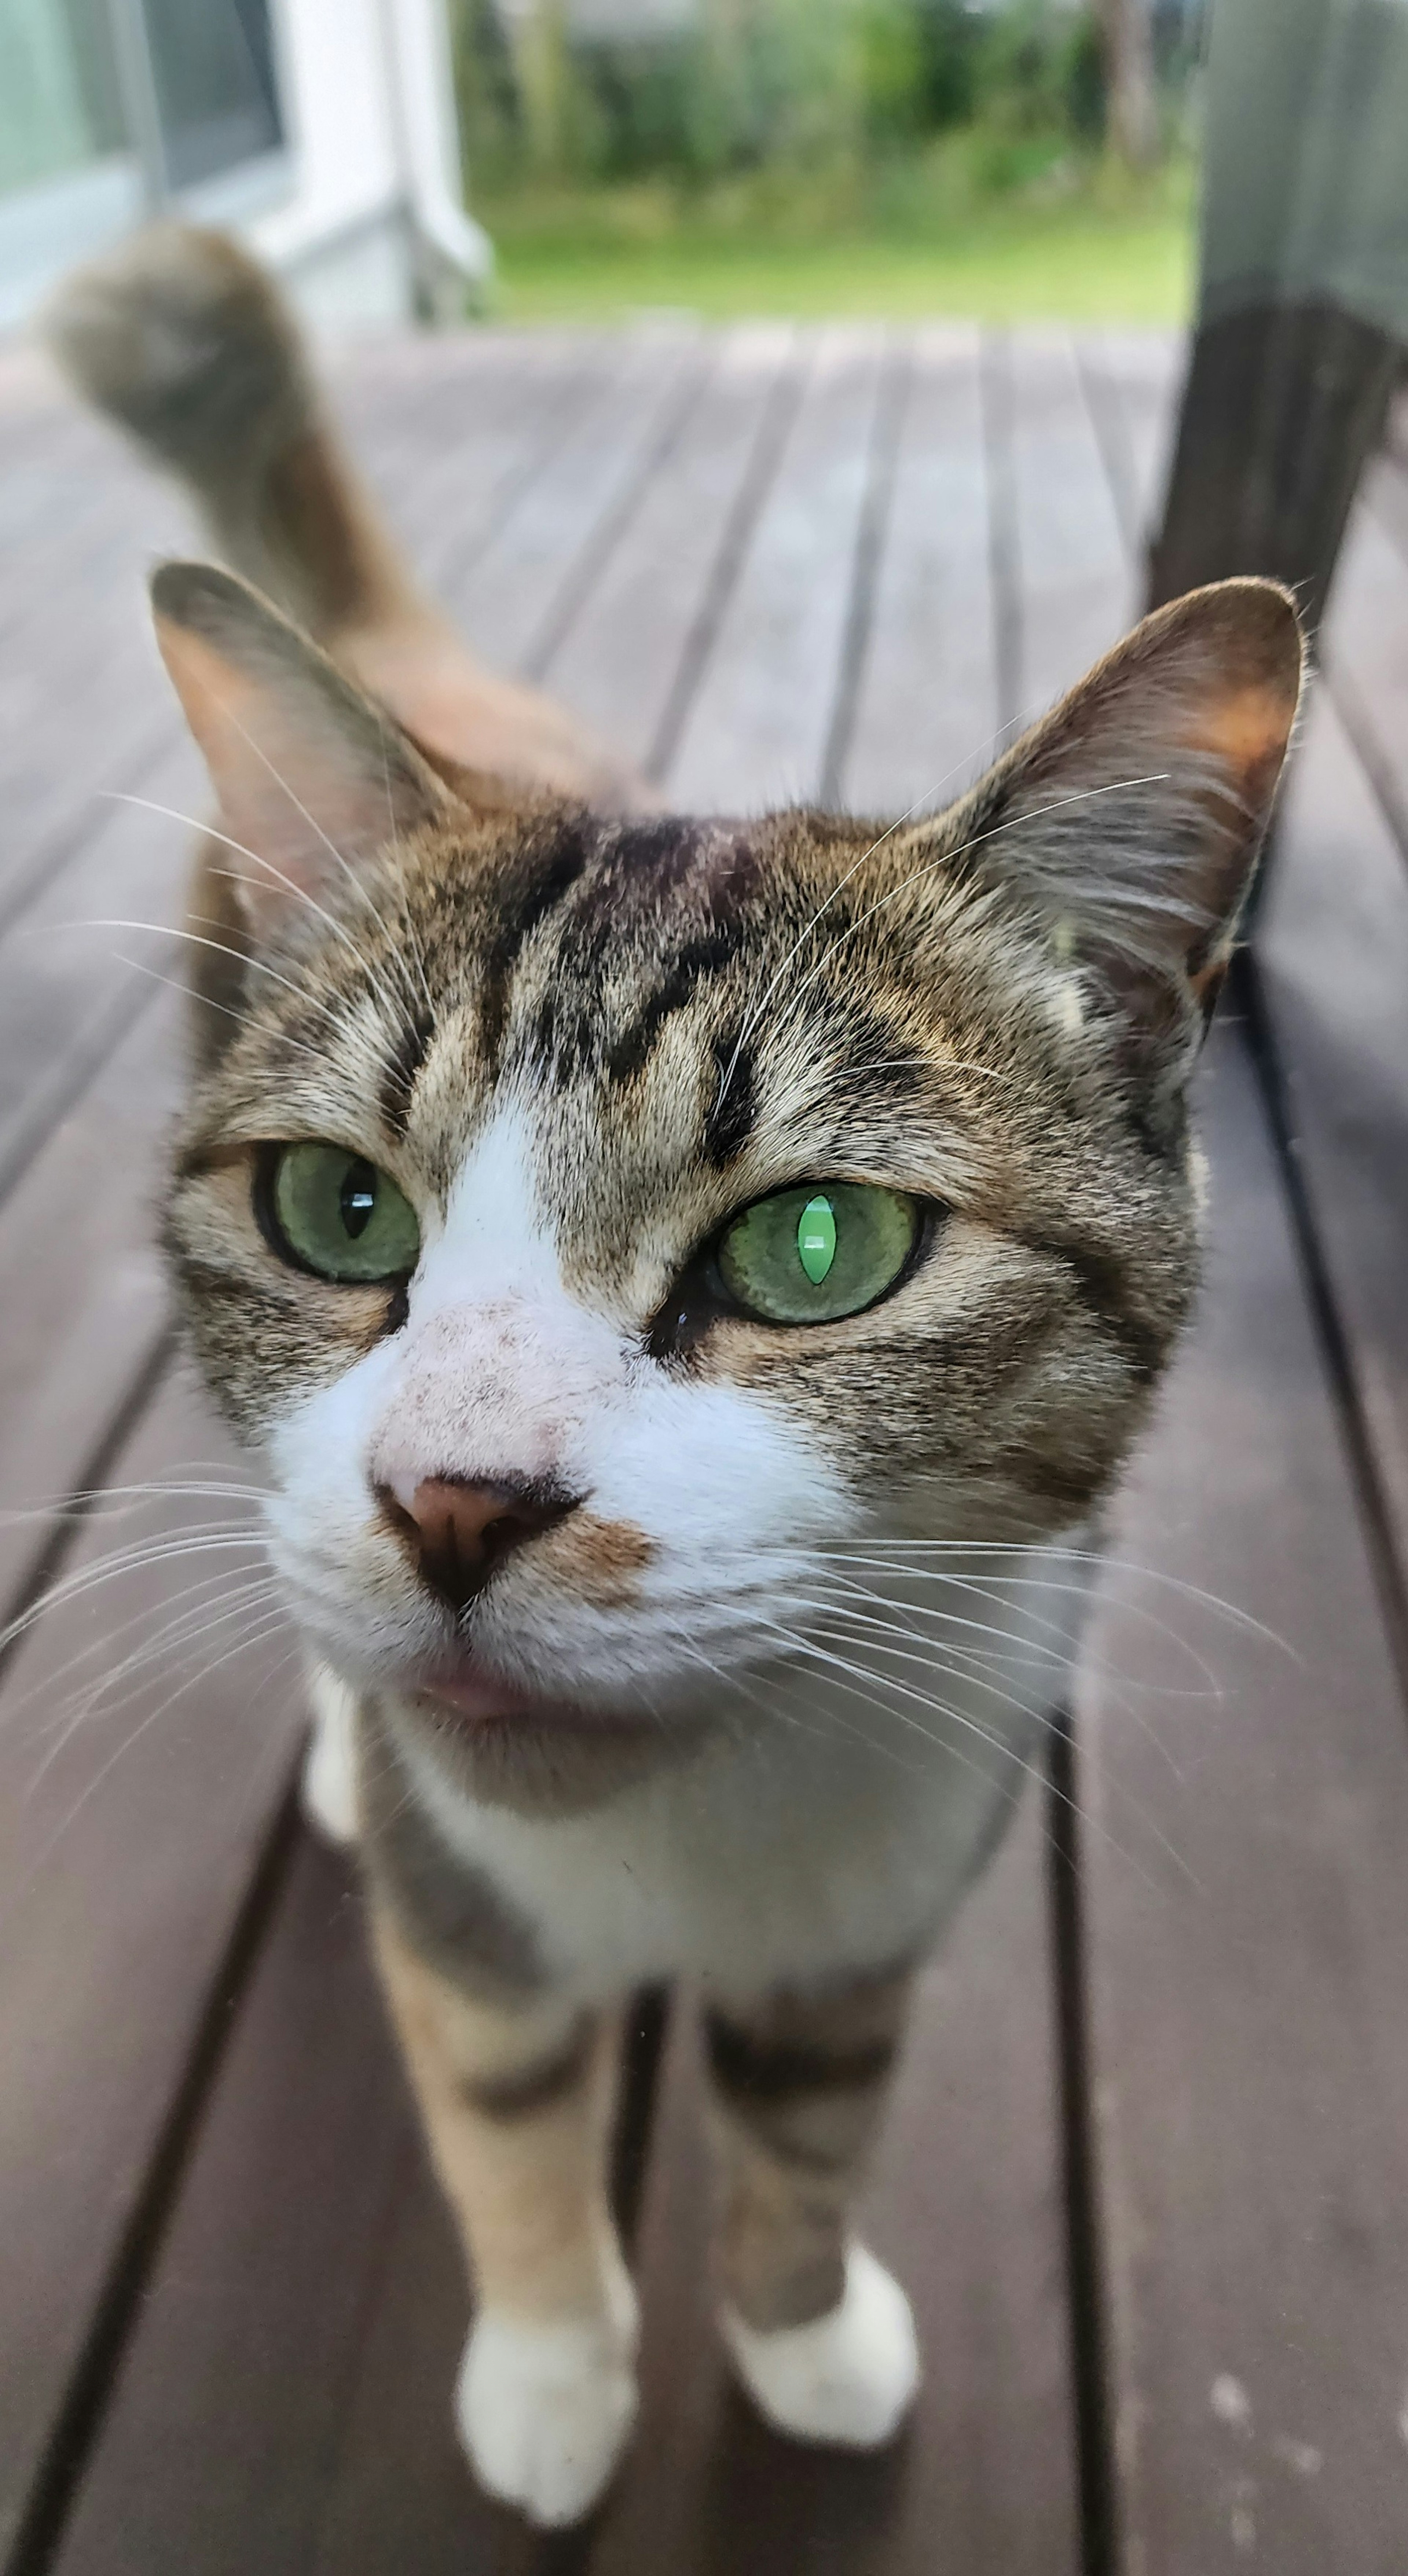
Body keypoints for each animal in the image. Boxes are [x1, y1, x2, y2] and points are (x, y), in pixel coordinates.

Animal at [50, 227, 1308, 2535]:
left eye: (817, 1250)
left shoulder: (877, 1909)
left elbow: (810, 2127)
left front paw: (799, 2329)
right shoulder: (472, 1934)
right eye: (336, 1213)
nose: (454, 1501)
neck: (689, 1836)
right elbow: (502, 2120)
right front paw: (556, 2369)